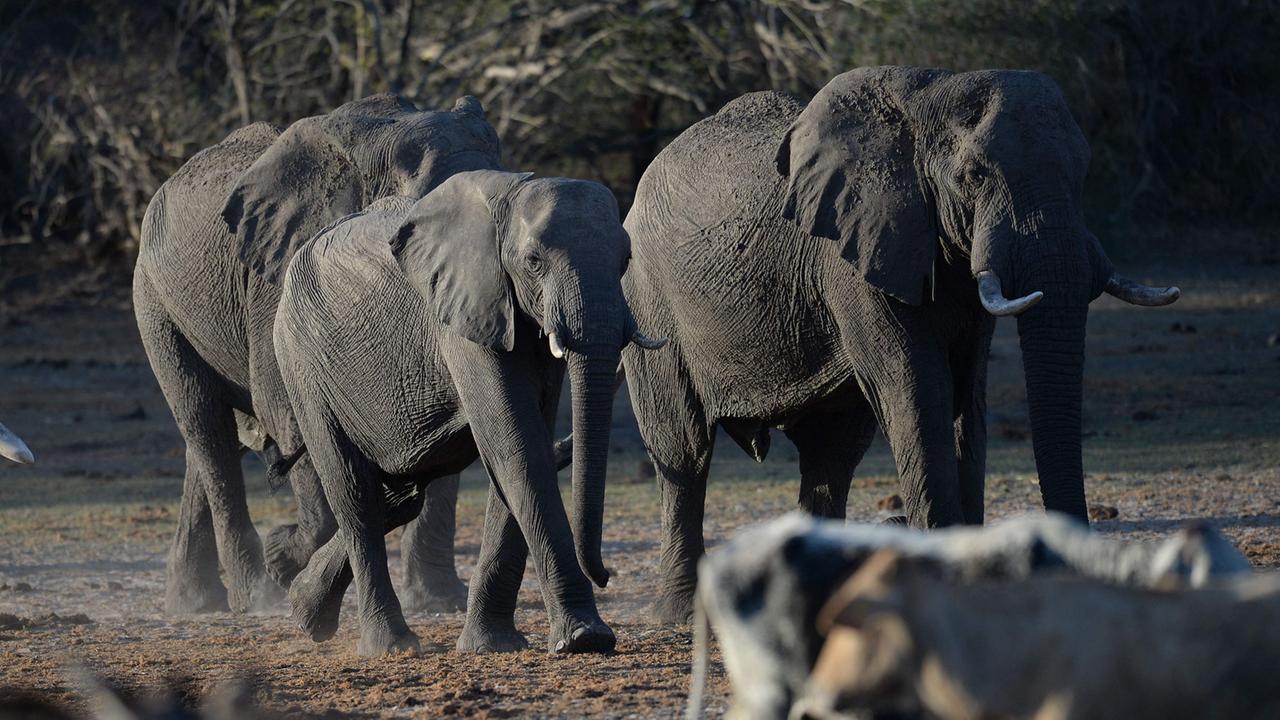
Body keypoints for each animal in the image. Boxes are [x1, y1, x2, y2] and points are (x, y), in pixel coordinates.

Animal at [132, 94, 501, 609]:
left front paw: (438, 602)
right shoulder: (280, 281)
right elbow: (288, 412)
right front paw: (283, 560)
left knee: (207, 440)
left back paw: (195, 602)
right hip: (153, 299)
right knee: (205, 424)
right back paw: (257, 595)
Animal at [270, 170, 660, 653]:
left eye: (626, 259)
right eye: (533, 261)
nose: (605, 576)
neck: (511, 196)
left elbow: (518, 448)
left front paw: (492, 646)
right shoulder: (466, 316)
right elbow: (518, 447)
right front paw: (585, 638)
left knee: (402, 493)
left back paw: (304, 611)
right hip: (303, 366)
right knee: (355, 493)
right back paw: (391, 645)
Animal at [611, 64, 1177, 620]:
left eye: (1083, 174)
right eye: (975, 175)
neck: (930, 96)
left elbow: (966, 395)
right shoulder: (853, 257)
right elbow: (920, 388)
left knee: (831, 454)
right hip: (649, 300)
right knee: (685, 451)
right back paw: (682, 613)